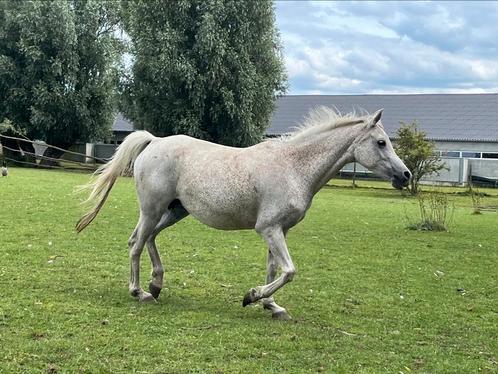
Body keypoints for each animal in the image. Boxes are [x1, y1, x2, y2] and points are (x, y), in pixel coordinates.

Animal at [76, 106, 410, 320]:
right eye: (381, 142)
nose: (405, 175)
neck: (293, 166)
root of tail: (155, 141)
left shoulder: (279, 230)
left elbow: (274, 269)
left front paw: (272, 306)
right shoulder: (269, 229)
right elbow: (289, 270)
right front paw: (252, 296)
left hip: (174, 212)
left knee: (148, 239)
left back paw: (157, 285)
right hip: (152, 209)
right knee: (136, 243)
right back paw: (140, 292)